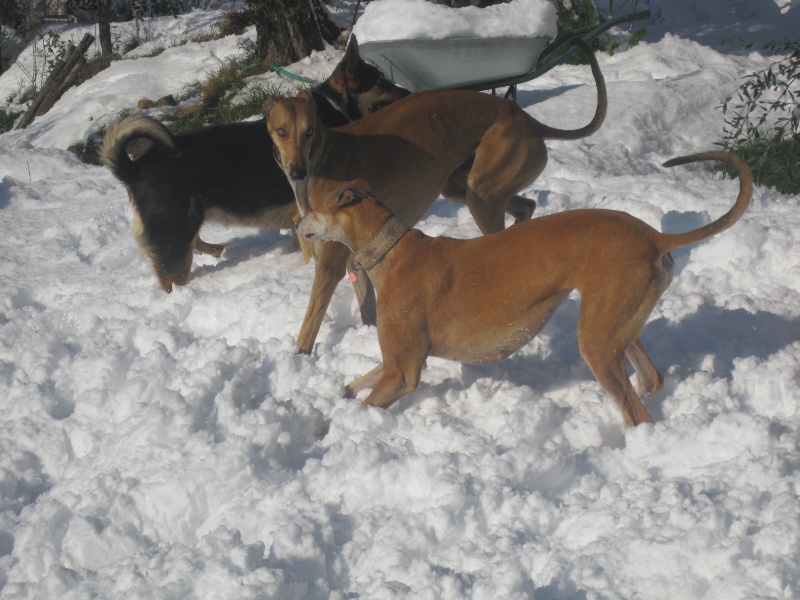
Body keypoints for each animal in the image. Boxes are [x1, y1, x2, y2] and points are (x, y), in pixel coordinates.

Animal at [100, 36, 410, 294]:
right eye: (380, 81)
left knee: (191, 245)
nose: (408, 92)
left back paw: (215, 249)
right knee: (171, 275)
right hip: (173, 235)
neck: (333, 112)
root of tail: (134, 168)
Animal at [264, 40, 607, 353]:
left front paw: (300, 357)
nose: (297, 171)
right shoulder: (352, 255)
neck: (325, 152)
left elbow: (309, 325)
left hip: (482, 194)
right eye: (282, 131)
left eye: (309, 131)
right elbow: (366, 307)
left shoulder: (330, 266)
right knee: (527, 204)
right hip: (464, 187)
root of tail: (528, 119)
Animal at [295, 151, 753, 427]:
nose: (296, 225)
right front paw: (338, 398)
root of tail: (655, 236)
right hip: (617, 325)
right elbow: (356, 383)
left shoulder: (403, 371)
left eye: (312, 205)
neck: (391, 249)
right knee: (651, 378)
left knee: (637, 413)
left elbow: (371, 395)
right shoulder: (394, 362)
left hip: (597, 340)